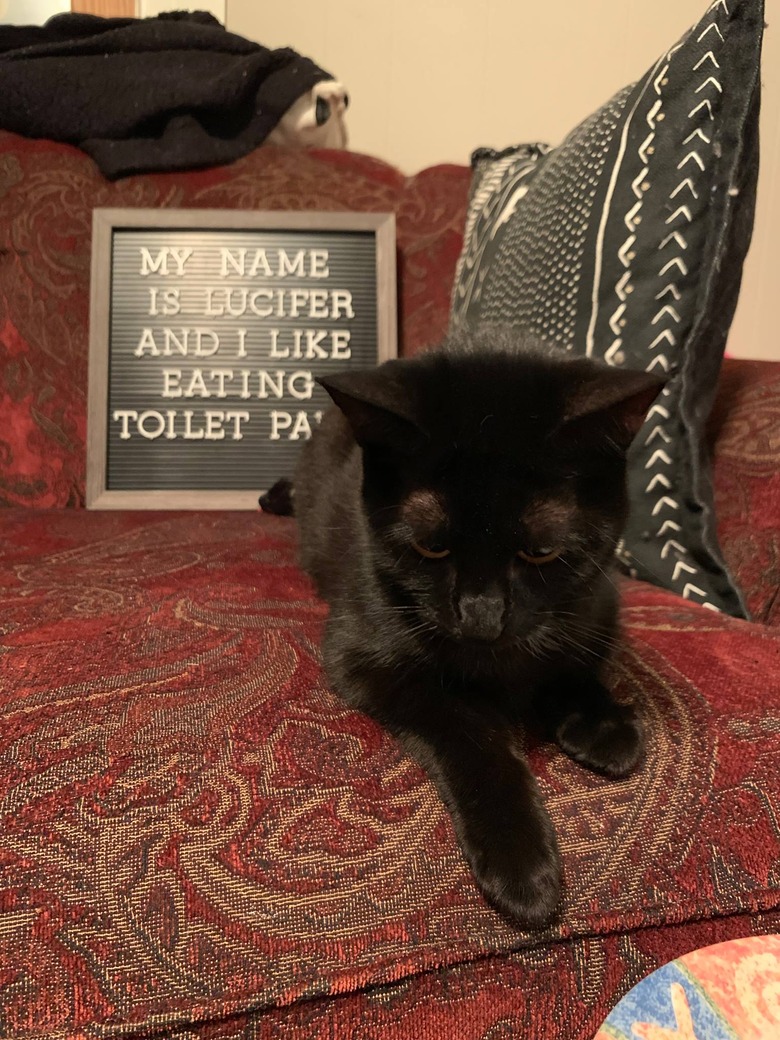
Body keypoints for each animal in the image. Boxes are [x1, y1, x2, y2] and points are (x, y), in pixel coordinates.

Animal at [264, 326, 665, 927]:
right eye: (431, 546)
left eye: (541, 552)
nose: (481, 617)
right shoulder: (363, 657)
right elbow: (470, 729)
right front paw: (521, 863)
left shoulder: (596, 603)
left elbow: (571, 661)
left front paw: (604, 724)